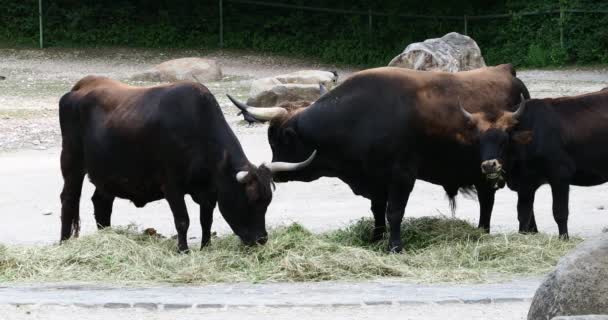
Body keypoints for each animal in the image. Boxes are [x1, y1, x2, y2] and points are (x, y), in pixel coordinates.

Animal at [460, 89, 608, 239]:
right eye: (479, 139)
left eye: (505, 138)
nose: (489, 165)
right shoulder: (525, 185)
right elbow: (523, 214)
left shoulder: (560, 177)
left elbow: (560, 213)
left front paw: (564, 238)